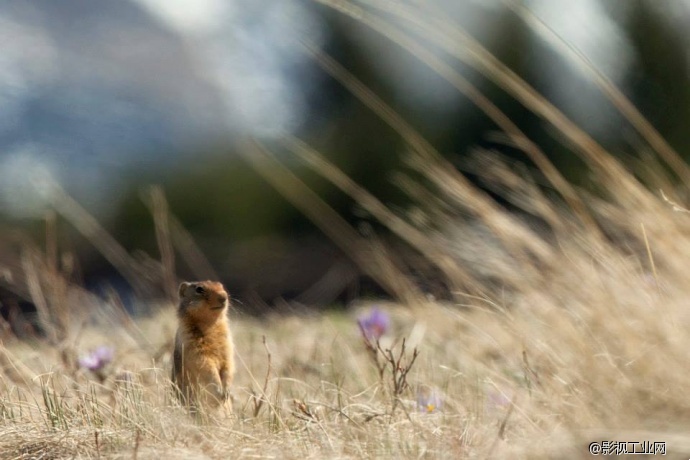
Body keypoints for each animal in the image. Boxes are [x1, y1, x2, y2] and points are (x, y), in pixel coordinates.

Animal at [171, 280, 234, 414]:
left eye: (221, 286)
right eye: (199, 289)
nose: (224, 296)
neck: (210, 323)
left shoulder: (227, 345)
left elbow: (229, 364)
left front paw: (226, 391)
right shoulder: (193, 346)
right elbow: (206, 366)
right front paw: (219, 390)